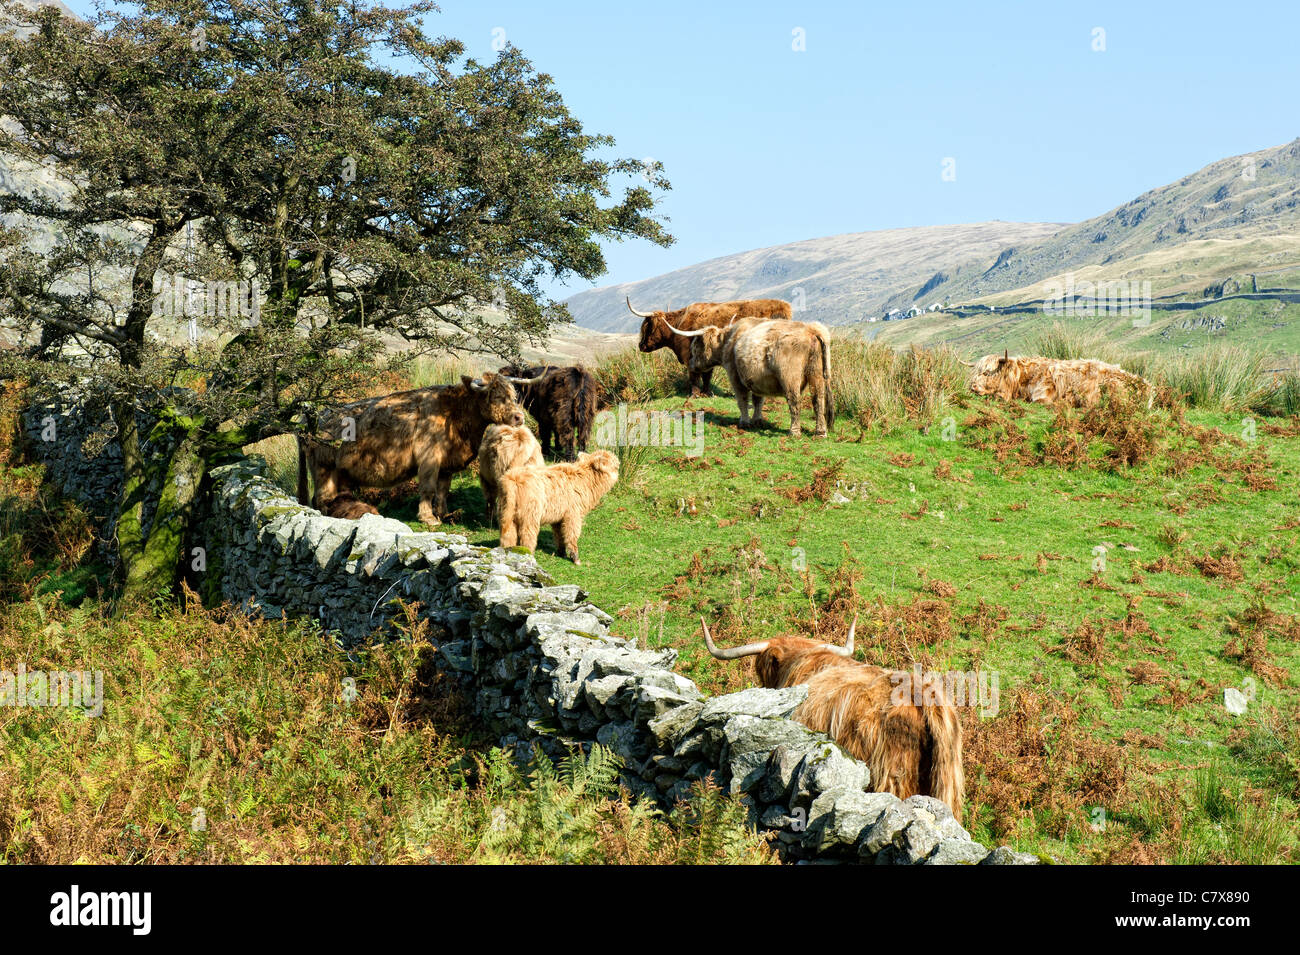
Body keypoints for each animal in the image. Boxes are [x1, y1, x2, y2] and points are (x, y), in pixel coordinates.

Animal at [626, 293, 790, 394]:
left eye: (646, 327)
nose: (641, 346)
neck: (679, 325)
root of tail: (783, 306)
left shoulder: (689, 355)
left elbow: (694, 376)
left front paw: (694, 394)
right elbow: (706, 375)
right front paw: (707, 392)